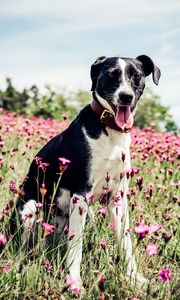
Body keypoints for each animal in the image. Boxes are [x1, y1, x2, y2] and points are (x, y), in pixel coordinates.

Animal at [9, 54, 161, 292]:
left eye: (136, 76)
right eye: (111, 75)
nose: (126, 97)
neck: (110, 131)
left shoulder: (117, 197)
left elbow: (126, 241)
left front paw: (133, 278)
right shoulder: (80, 193)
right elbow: (76, 246)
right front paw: (74, 282)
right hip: (31, 209)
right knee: (21, 248)